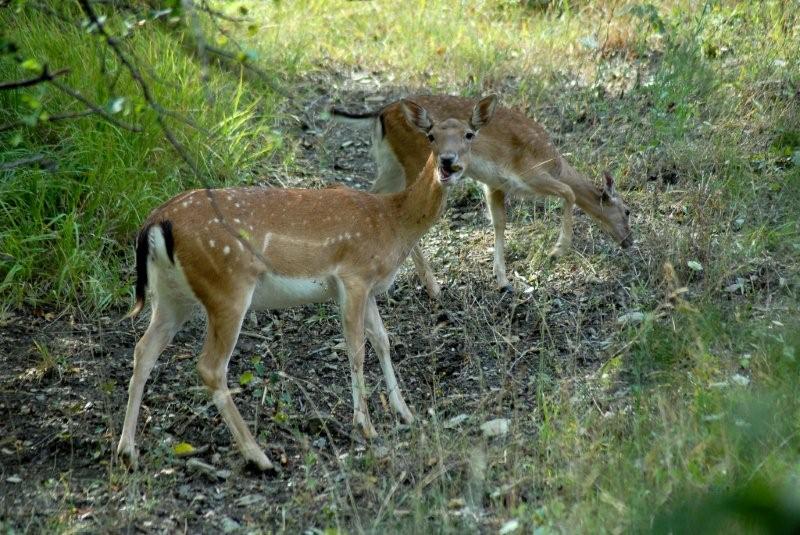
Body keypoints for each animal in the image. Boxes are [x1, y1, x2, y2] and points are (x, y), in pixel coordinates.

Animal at [115, 94, 496, 472]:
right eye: (431, 135)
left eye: (469, 134)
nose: (448, 163)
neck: (391, 222)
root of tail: (157, 222)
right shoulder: (353, 276)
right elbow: (356, 348)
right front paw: (366, 425)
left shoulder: (369, 288)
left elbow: (383, 341)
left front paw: (405, 413)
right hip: (227, 287)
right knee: (210, 367)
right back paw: (258, 455)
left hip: (171, 295)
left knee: (143, 350)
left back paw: (127, 450)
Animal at [332, 96, 632, 298]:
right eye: (628, 211)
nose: (629, 241)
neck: (556, 163)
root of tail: (380, 113)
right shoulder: (531, 174)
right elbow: (568, 193)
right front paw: (556, 251)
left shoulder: (494, 184)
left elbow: (499, 222)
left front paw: (503, 280)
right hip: (414, 161)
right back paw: (433, 286)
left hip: (390, 165)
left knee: (374, 193)